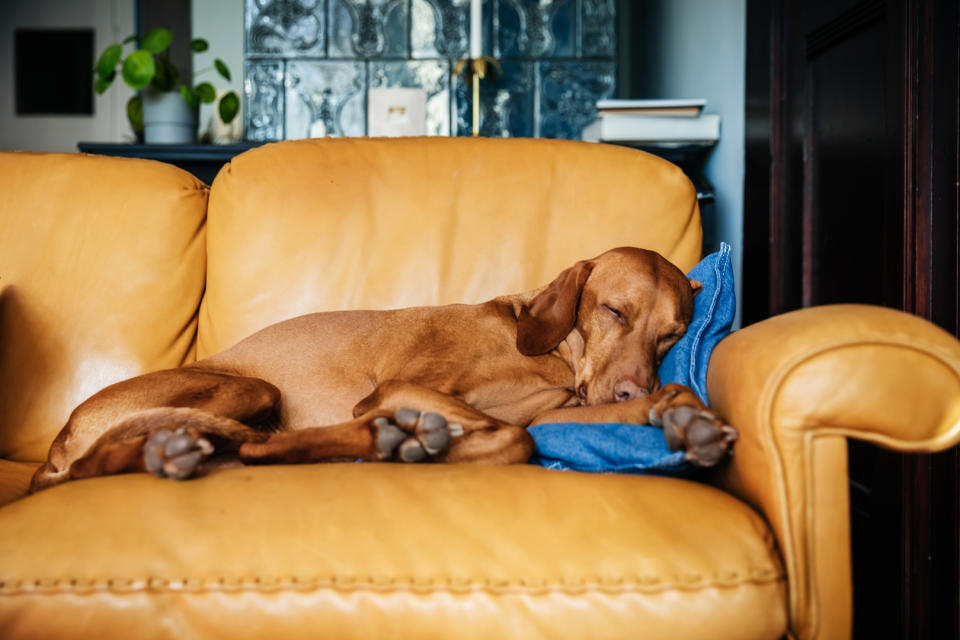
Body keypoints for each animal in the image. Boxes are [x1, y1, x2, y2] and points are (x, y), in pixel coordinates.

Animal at [28, 248, 736, 492]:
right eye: (615, 310)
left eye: (672, 335)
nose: (633, 384)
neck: (547, 355)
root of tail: (61, 437)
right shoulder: (399, 386)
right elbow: (515, 437)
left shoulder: (565, 409)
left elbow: (555, 424)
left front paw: (680, 413)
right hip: (252, 386)